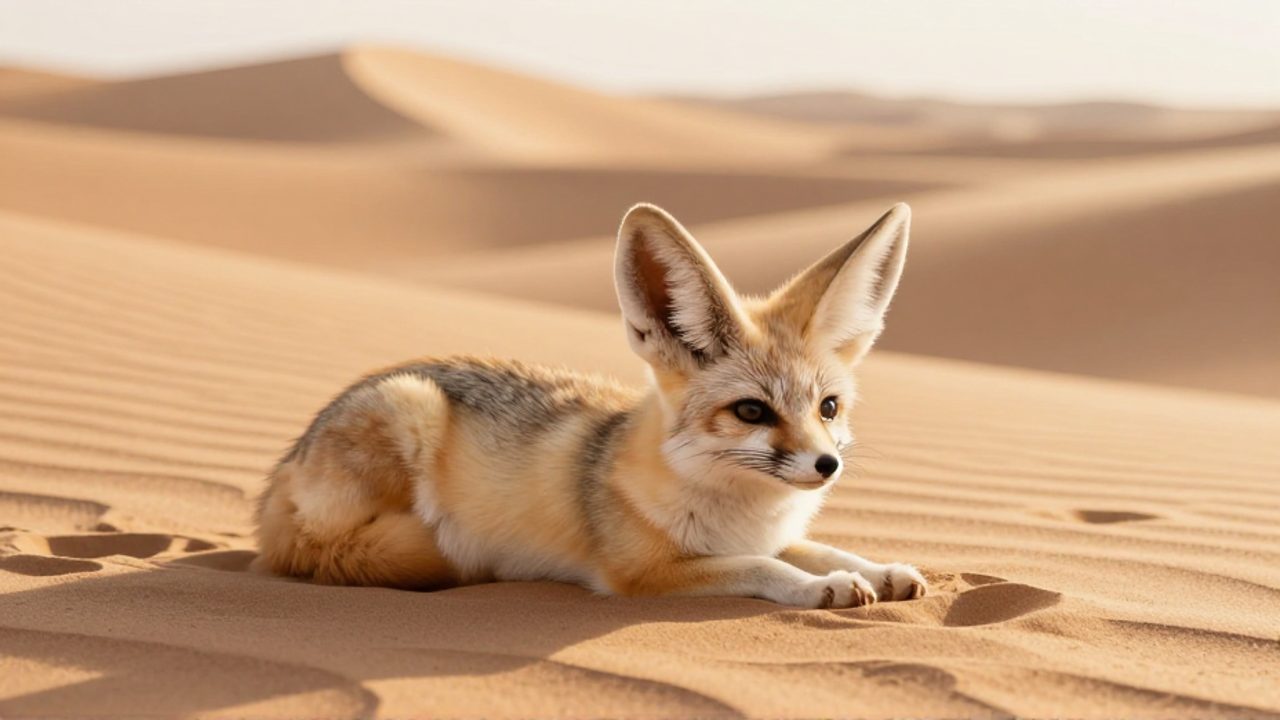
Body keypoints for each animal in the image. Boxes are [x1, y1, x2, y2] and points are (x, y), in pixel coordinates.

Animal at [253, 202, 926, 608]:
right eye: (752, 412)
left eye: (829, 408)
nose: (827, 466)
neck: (742, 512)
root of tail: (276, 478)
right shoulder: (646, 573)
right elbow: (767, 569)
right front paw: (822, 588)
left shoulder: (768, 535)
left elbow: (822, 548)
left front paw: (877, 569)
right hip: (409, 405)